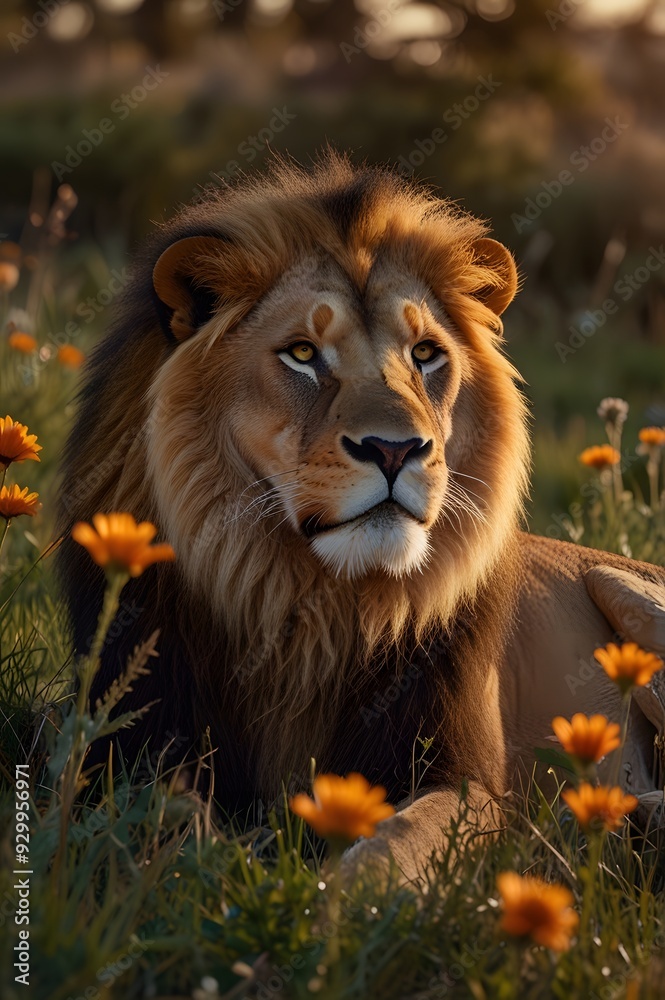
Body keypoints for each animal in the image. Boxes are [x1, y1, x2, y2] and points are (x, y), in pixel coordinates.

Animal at [57, 151, 665, 881]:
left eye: (425, 354)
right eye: (301, 354)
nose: (396, 449)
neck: (312, 605)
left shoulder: (468, 783)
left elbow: (391, 846)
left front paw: (320, 899)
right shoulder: (126, 745)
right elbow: (165, 820)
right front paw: (216, 870)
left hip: (624, 588)